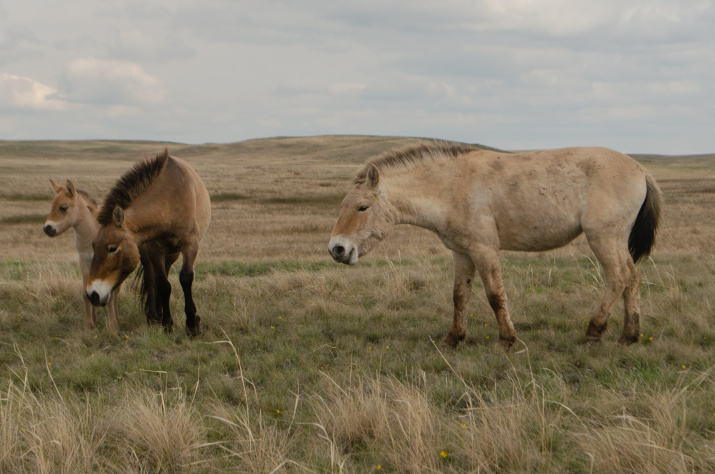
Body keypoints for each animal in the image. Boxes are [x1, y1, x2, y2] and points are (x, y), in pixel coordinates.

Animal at [43, 179, 120, 334]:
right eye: (52, 206)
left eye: (63, 208)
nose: (47, 228)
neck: (92, 234)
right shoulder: (84, 262)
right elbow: (86, 293)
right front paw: (89, 324)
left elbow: (109, 293)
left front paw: (113, 327)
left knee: (116, 291)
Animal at [85, 150, 211, 336]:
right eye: (94, 246)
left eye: (112, 248)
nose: (92, 294)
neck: (169, 201)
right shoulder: (154, 249)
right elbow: (163, 285)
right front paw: (167, 323)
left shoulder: (190, 245)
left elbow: (186, 278)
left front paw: (192, 324)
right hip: (148, 253)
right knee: (152, 279)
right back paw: (154, 316)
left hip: (173, 253)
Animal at [328, 143, 664, 348]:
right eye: (344, 205)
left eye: (362, 207)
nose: (336, 249)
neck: (451, 187)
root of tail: (640, 169)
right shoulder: (462, 253)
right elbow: (459, 296)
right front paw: (453, 339)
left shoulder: (484, 250)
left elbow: (494, 295)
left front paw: (507, 340)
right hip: (615, 241)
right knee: (632, 279)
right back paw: (629, 336)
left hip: (604, 238)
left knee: (618, 278)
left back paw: (594, 331)